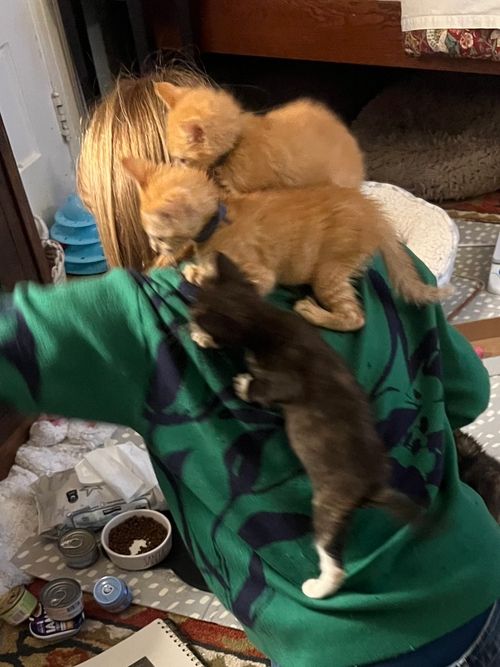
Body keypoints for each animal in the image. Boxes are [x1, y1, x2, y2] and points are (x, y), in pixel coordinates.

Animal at [123, 157, 447, 336]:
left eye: (158, 236)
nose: (154, 247)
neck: (218, 221)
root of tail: (374, 213)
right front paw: (196, 269)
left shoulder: (259, 275)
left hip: (329, 271)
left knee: (356, 318)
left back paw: (312, 312)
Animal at [191, 252, 422, 599]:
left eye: (195, 313)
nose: (189, 321)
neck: (266, 319)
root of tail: (373, 486)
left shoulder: (286, 378)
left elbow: (266, 389)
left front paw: (239, 378)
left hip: (328, 504)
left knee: (332, 556)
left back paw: (319, 586)